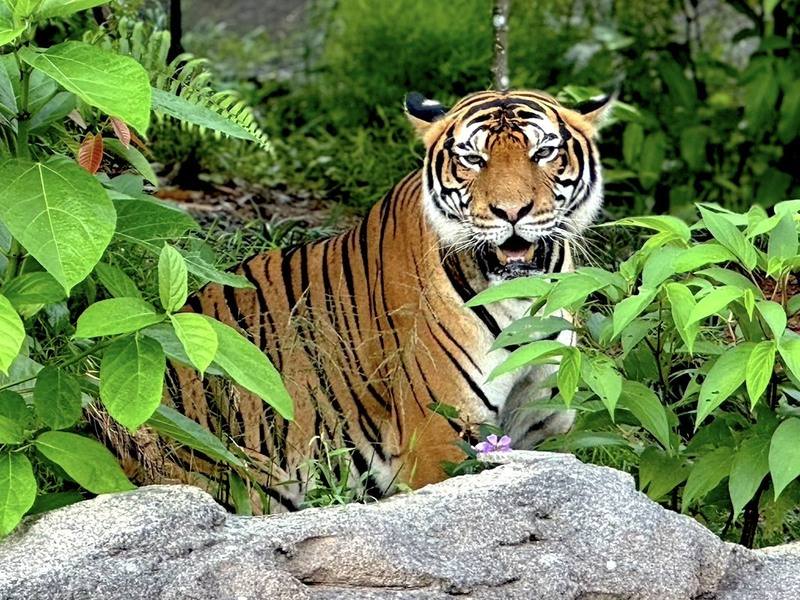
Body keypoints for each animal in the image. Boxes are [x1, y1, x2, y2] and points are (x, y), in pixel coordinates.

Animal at [104, 89, 612, 513]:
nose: (511, 212)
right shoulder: (438, 436)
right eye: (473, 158)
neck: (527, 299)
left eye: (542, 152)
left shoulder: (542, 432)